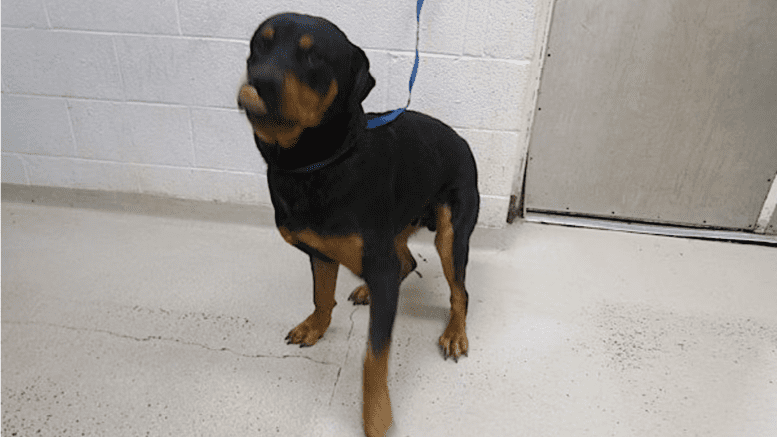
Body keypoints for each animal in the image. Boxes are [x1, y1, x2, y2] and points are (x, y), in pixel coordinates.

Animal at [236, 11, 478, 434]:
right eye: (259, 45)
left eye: (314, 55)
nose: (259, 82)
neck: (319, 163)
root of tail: (463, 142)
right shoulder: (320, 252)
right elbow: (321, 295)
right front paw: (315, 327)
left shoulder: (378, 261)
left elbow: (373, 356)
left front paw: (376, 414)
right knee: (406, 262)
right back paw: (368, 291)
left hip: (451, 235)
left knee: (459, 292)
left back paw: (454, 333)